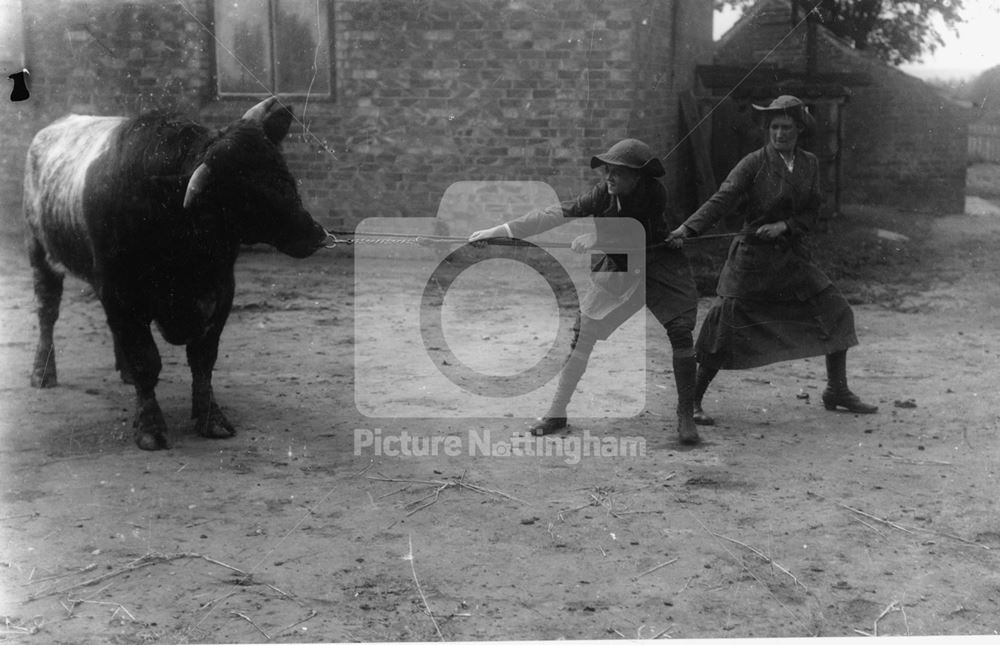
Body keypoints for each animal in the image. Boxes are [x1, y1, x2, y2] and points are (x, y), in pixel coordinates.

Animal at [24, 97, 328, 448]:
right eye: (247, 193)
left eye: (284, 174)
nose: (314, 234)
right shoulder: (120, 293)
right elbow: (146, 359)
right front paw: (150, 427)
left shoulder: (221, 292)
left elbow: (203, 360)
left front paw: (212, 418)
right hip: (40, 253)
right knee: (47, 312)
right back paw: (43, 373)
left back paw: (122, 372)